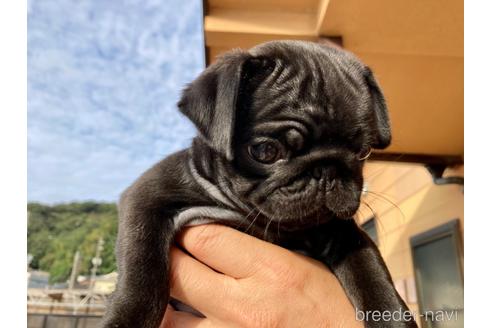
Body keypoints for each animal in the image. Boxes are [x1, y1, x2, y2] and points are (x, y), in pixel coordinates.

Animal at [102, 39, 418, 326]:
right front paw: (127, 319)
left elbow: (372, 274)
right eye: (266, 151)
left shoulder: (342, 233)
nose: (327, 171)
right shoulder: (146, 198)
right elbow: (143, 271)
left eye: (363, 153)